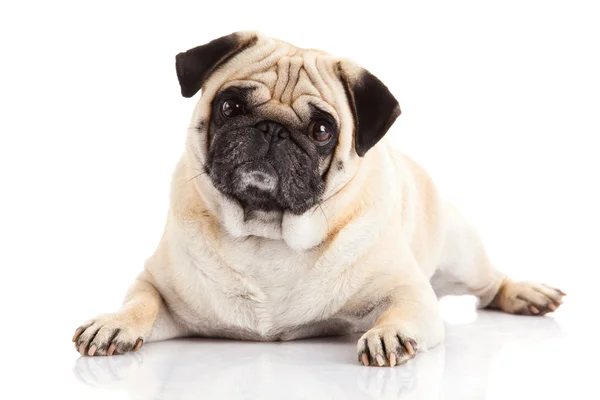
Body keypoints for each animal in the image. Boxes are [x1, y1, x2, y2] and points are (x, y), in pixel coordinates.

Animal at [72, 31, 564, 368]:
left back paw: (525, 294)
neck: (267, 236)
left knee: (490, 283)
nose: (271, 129)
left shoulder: (408, 290)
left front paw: (387, 335)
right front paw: (114, 323)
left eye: (322, 130)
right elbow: (141, 302)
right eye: (230, 107)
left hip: (461, 255)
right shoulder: (161, 287)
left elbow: (401, 309)